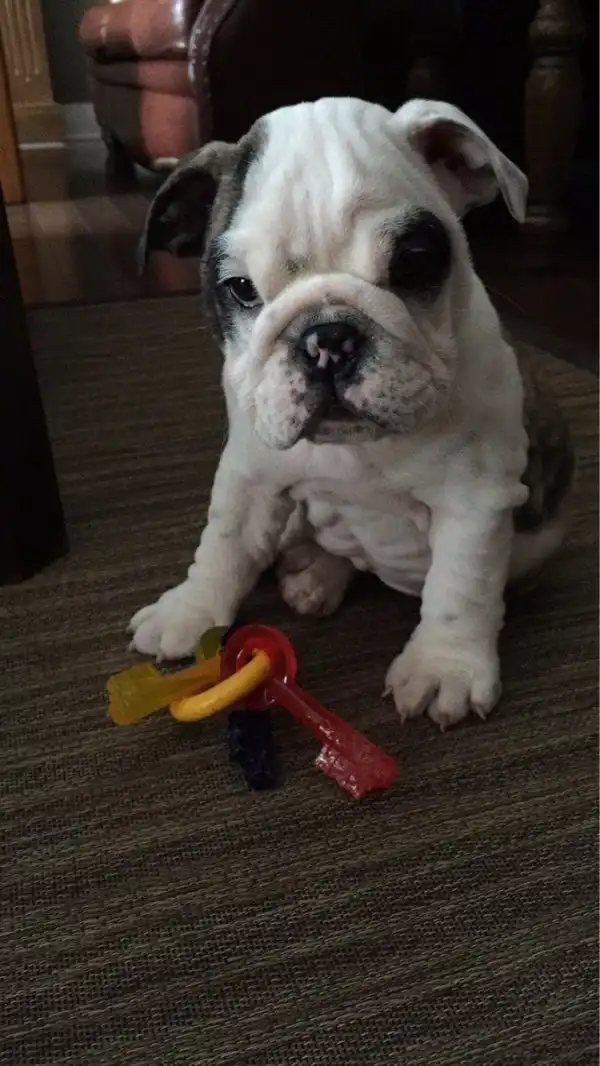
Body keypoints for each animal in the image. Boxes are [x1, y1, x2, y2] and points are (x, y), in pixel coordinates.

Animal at [129, 97, 573, 730]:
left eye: (414, 261)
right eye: (240, 288)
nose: (327, 337)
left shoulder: (476, 499)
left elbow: (461, 586)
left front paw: (445, 667)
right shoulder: (249, 472)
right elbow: (224, 542)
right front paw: (191, 609)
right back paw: (315, 572)